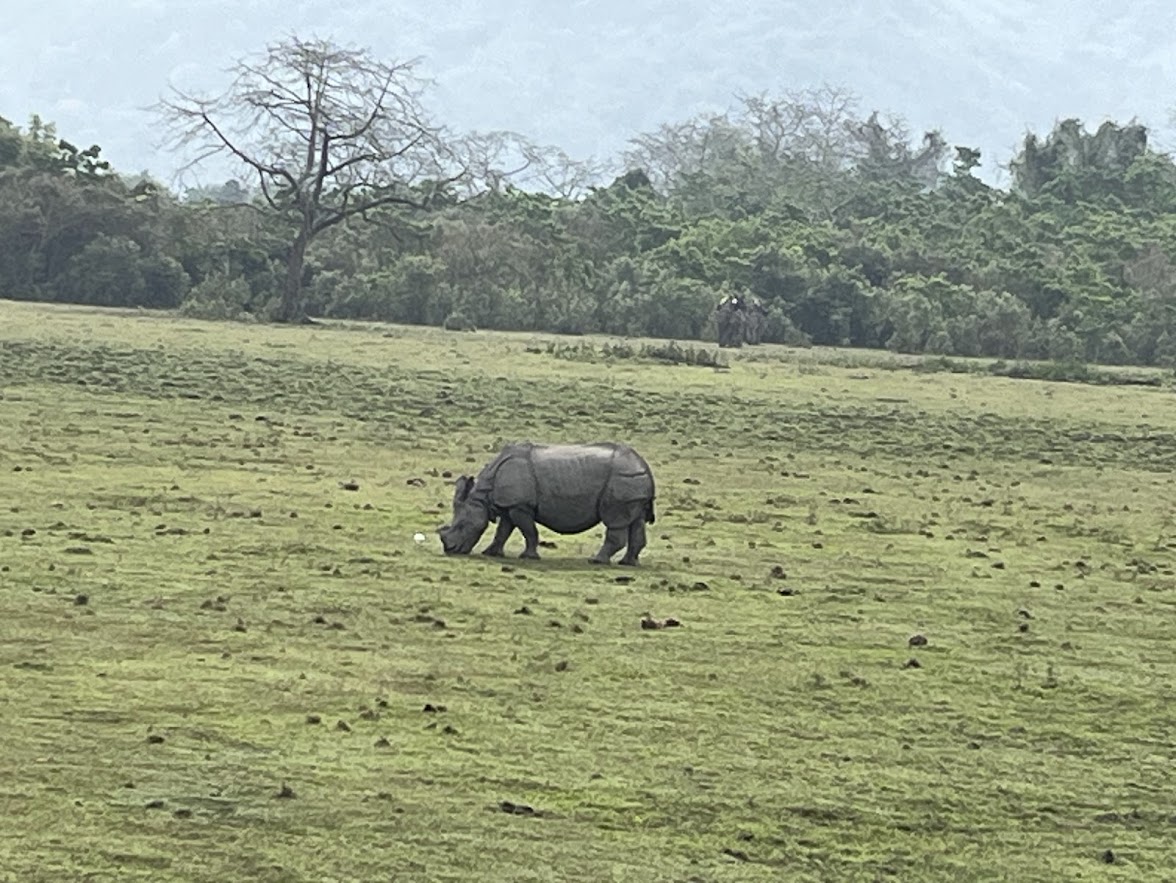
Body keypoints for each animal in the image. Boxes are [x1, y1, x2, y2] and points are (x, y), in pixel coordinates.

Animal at [437, 442, 656, 565]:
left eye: (462, 525)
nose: (450, 550)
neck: (483, 497)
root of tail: (644, 465)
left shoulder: (520, 506)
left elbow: (529, 531)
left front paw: (528, 557)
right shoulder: (509, 505)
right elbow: (503, 531)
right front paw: (491, 553)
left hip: (622, 478)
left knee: (615, 521)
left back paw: (596, 561)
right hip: (632, 481)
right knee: (636, 521)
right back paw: (628, 563)